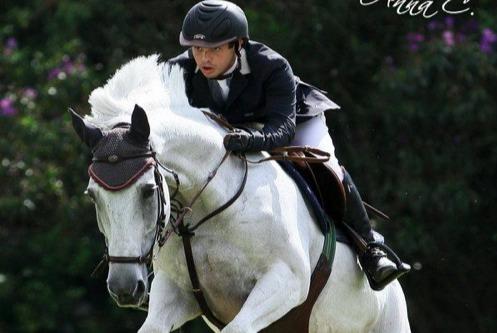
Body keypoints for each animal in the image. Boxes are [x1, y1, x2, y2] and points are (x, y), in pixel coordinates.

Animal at [71, 55, 408, 332]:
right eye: (92, 196)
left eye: (148, 191)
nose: (124, 288)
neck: (209, 213)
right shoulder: (176, 292)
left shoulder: (286, 280)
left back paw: (380, 262)